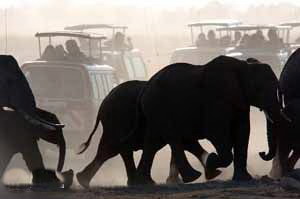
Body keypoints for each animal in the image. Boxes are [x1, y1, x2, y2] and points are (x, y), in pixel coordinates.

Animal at [128, 55, 288, 184]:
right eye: (259, 88)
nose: (262, 153)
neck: (242, 66)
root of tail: (145, 87)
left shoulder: (240, 100)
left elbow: (242, 131)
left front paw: (244, 179)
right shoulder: (216, 97)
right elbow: (216, 132)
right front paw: (212, 161)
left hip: (154, 110)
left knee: (154, 141)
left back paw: (144, 182)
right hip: (159, 106)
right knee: (173, 137)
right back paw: (194, 177)